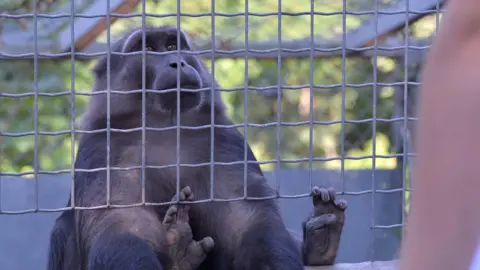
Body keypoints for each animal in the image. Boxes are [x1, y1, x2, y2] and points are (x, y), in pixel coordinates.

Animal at [46, 25, 344, 270]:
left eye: (172, 45)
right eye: (147, 48)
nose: (176, 62)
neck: (165, 126)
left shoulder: (222, 141)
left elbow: (248, 221)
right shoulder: (104, 148)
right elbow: (122, 223)